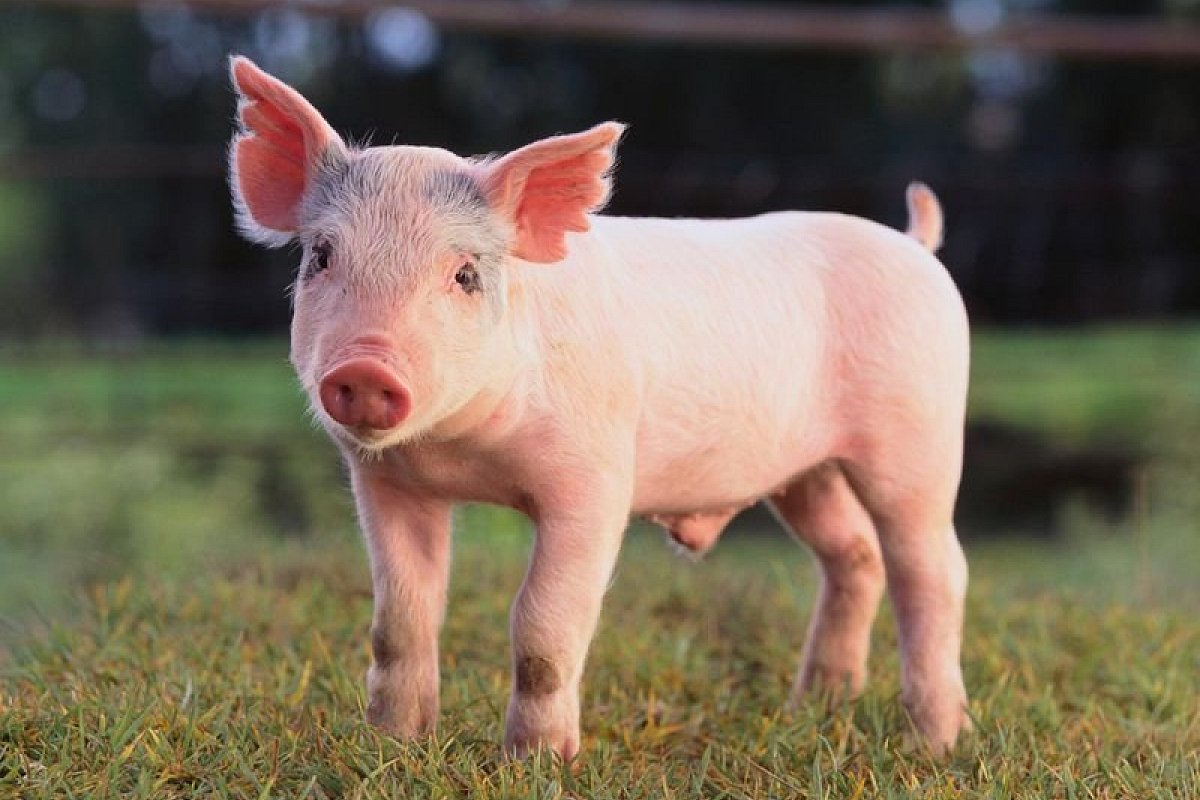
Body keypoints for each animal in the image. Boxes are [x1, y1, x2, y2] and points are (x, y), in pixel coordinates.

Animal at [228, 56, 971, 758]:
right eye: (322, 257)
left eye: (465, 275)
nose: (365, 368)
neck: (465, 451)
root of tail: (915, 246)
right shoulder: (387, 483)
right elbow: (400, 619)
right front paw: (393, 743)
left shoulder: (594, 481)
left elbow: (542, 624)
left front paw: (537, 762)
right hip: (806, 472)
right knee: (854, 555)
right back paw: (816, 706)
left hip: (920, 435)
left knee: (931, 570)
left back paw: (935, 742)